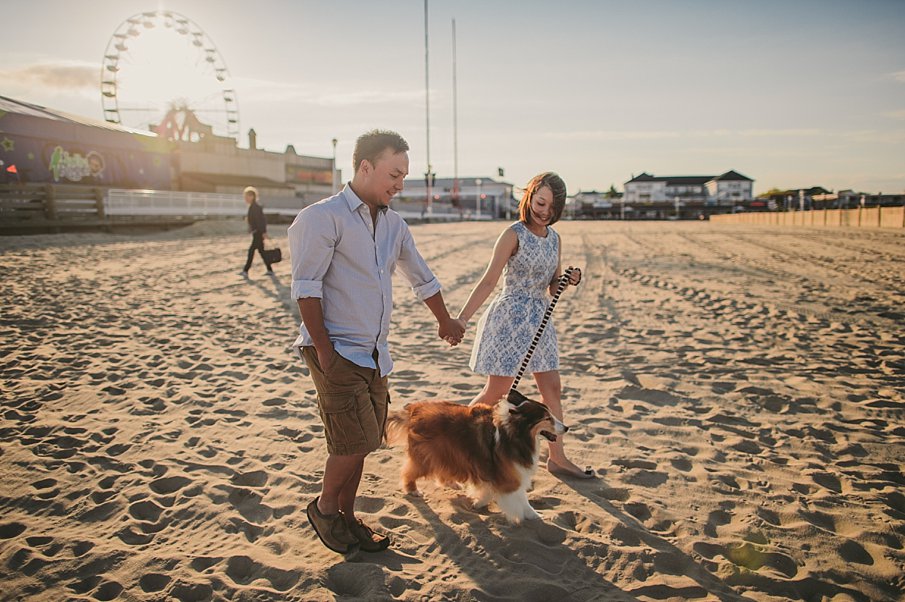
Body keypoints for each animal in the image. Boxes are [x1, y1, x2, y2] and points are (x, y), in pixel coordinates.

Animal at [384, 390, 568, 520]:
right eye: (547, 418)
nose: (566, 428)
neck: (514, 433)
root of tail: (415, 409)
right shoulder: (510, 476)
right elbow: (521, 499)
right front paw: (535, 516)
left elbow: (489, 490)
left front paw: (478, 503)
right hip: (427, 455)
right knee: (409, 471)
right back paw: (413, 490)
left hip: (446, 452)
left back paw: (452, 483)